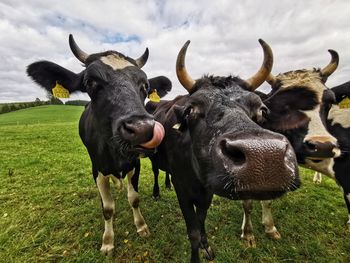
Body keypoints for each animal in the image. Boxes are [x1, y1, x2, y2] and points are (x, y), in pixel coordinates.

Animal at [26, 35, 171, 256]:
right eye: (90, 82)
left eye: (145, 86)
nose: (142, 129)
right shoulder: (98, 169)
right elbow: (108, 208)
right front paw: (108, 241)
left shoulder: (134, 164)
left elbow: (134, 198)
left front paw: (141, 226)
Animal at [239, 50, 340, 249]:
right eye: (281, 105)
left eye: (329, 102)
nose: (322, 145)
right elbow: (247, 204)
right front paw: (247, 234)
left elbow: (268, 201)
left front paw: (269, 227)